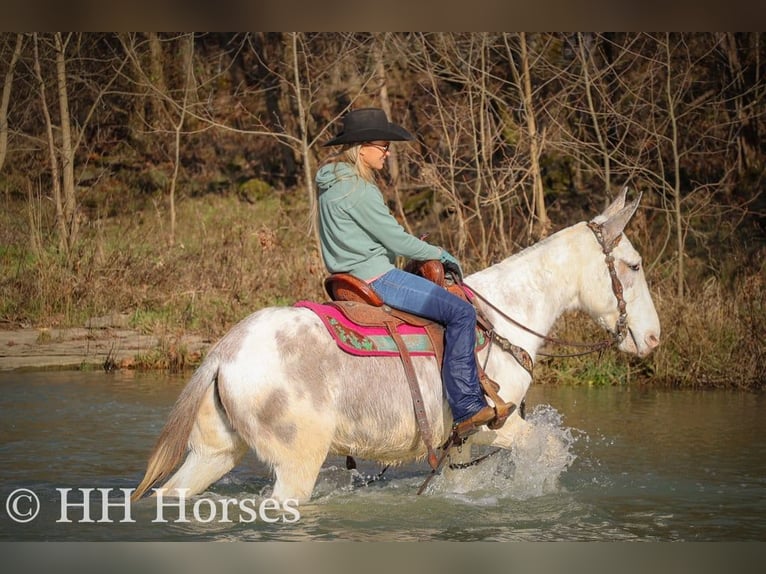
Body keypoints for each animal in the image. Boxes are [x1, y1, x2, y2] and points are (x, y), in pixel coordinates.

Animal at [132, 188, 660, 504]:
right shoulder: (498, 426)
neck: (505, 317)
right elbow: (547, 451)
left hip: (212, 454)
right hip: (295, 465)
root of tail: (224, 352)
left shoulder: (460, 445)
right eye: (634, 265)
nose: (653, 338)